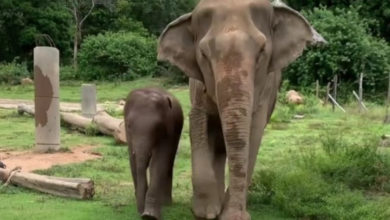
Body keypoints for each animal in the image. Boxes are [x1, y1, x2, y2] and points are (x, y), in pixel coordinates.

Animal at [125, 88, 184, 220]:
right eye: (129, 125)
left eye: (158, 127)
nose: (141, 212)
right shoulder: (128, 136)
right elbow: (133, 162)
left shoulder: (169, 131)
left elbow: (157, 163)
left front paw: (149, 215)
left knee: (169, 162)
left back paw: (166, 203)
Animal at [157, 0, 324, 219]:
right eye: (203, 54)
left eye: (262, 50)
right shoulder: (197, 86)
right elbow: (198, 120)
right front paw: (206, 212)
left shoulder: (265, 89)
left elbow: (254, 132)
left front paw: (232, 215)